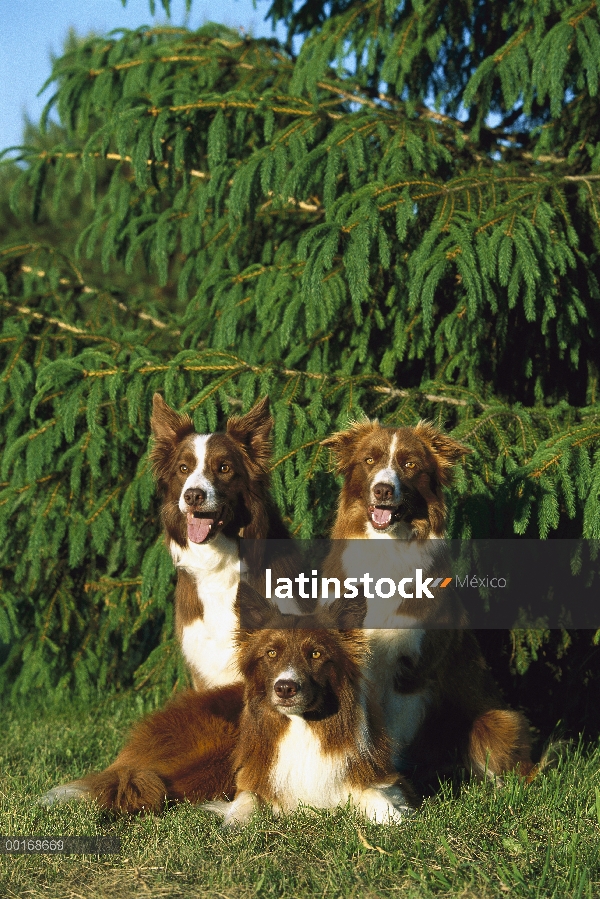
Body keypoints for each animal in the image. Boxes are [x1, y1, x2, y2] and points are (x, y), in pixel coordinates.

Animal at [322, 418, 532, 784]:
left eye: (410, 465)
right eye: (369, 460)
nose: (382, 490)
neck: (386, 551)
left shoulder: (411, 672)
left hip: (495, 720)